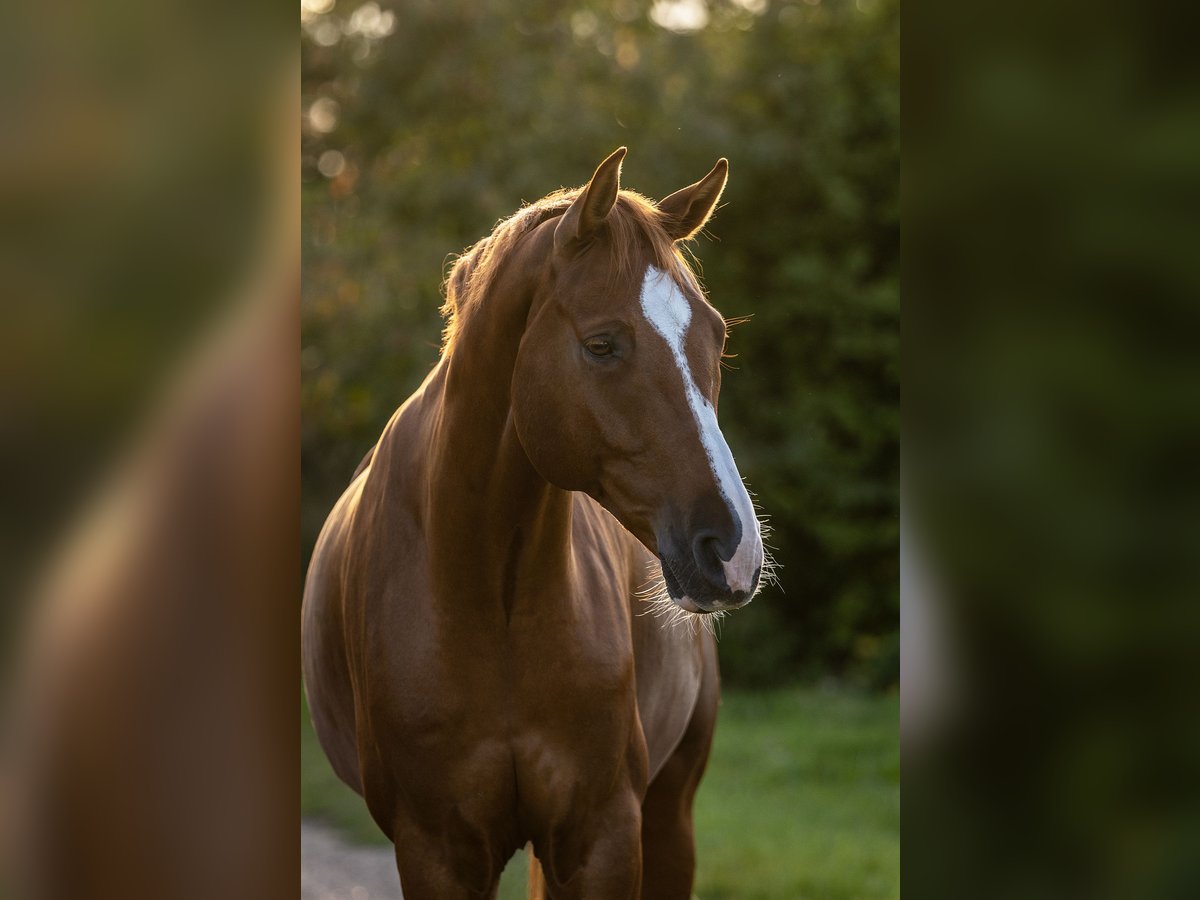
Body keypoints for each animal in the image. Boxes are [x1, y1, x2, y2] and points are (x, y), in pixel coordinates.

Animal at [304, 150, 763, 900]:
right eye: (602, 345)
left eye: (714, 335)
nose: (733, 549)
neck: (492, 599)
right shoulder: (436, 850)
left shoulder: (602, 836)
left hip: (669, 819)